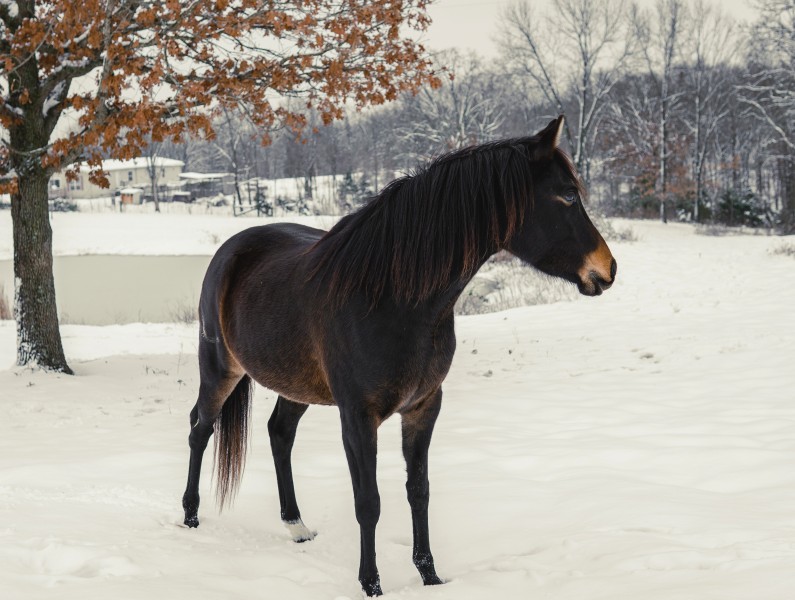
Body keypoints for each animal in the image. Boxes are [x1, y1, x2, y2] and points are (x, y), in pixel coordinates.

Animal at [183, 116, 620, 596]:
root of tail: (231, 250)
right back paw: (190, 515)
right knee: (201, 429)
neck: (394, 298)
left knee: (279, 433)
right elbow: (369, 501)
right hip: (219, 369)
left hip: (295, 385)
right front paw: (371, 584)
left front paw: (430, 575)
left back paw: (296, 527)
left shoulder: (424, 407)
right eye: (567, 195)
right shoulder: (358, 417)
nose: (608, 269)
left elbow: (419, 490)